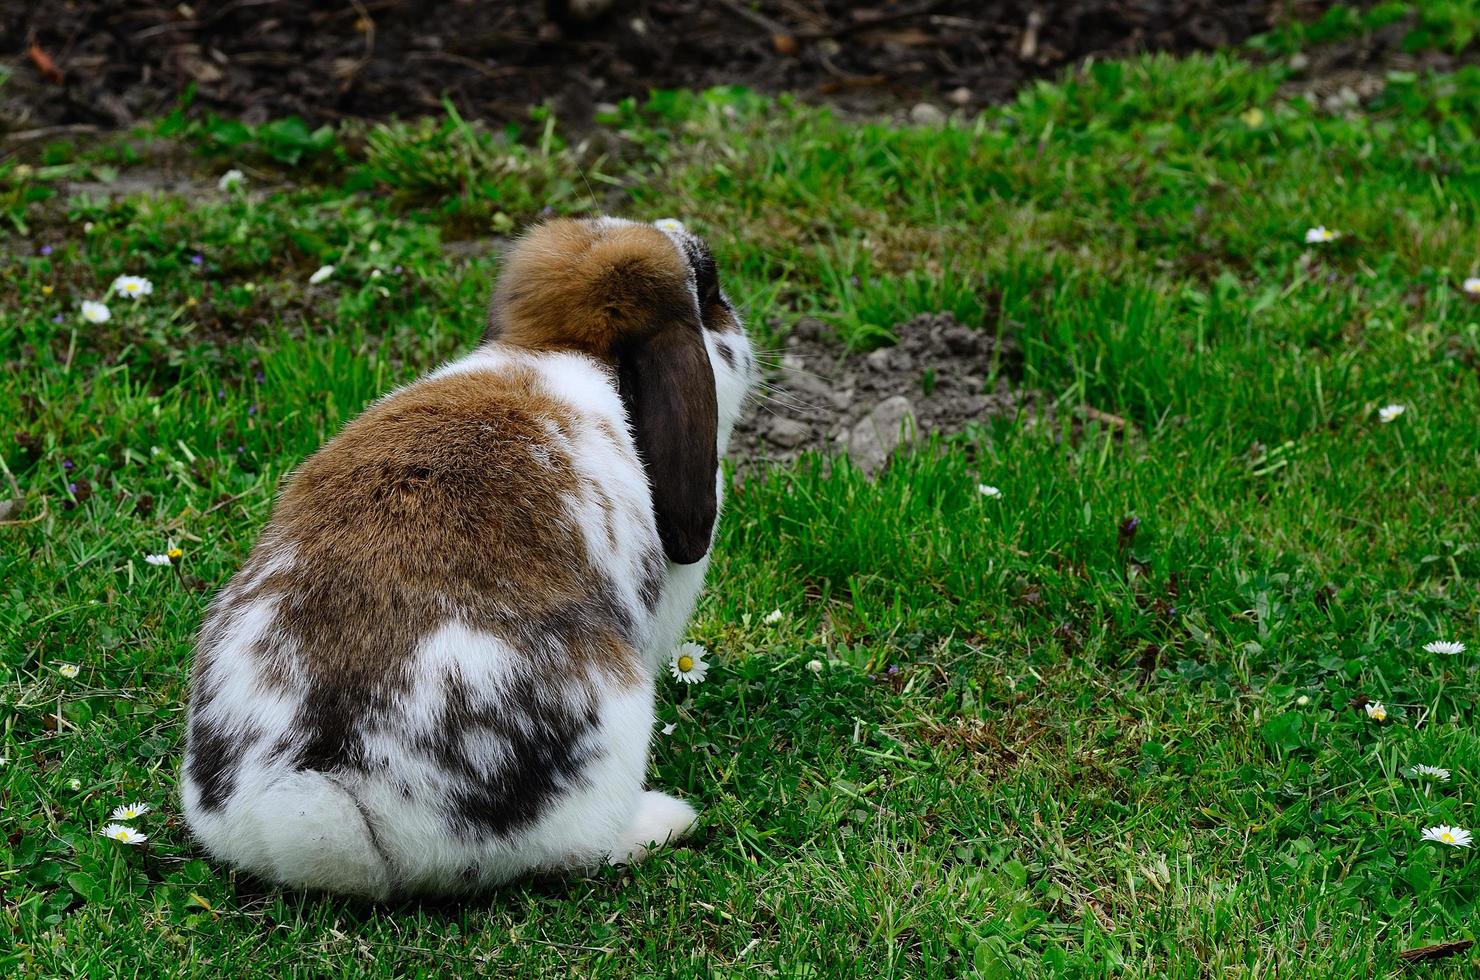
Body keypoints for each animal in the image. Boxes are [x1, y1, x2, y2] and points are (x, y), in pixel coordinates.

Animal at [183, 219, 757, 900]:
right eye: (711, 289)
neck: (559, 349)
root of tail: (340, 795)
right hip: (616, 711)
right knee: (575, 850)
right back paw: (666, 821)